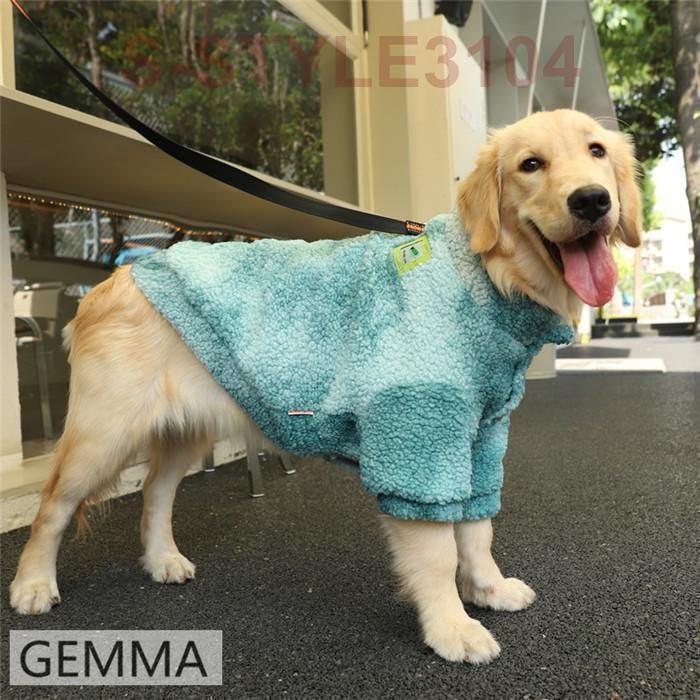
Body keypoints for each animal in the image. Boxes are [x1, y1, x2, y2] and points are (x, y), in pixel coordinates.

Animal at [10, 109, 642, 664]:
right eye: (531, 164)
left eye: (597, 151)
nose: (592, 200)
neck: (488, 279)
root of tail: (113, 277)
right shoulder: (416, 437)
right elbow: (439, 550)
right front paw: (452, 629)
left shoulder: (478, 439)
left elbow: (477, 529)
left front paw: (489, 589)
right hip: (104, 431)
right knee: (52, 507)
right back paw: (33, 584)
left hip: (188, 425)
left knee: (154, 494)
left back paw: (163, 559)